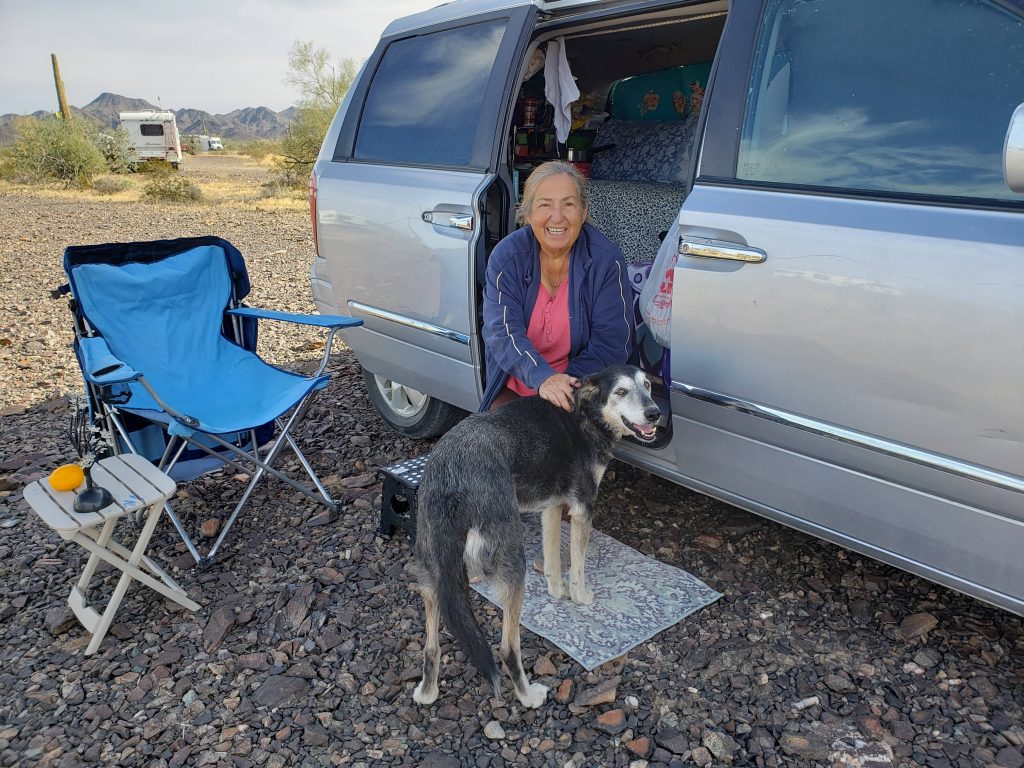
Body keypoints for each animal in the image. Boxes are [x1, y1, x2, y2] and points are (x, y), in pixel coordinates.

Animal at [411, 364, 659, 708]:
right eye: (621, 391)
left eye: (646, 385)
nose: (655, 413)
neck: (586, 414)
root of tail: (450, 468)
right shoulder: (583, 509)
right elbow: (578, 566)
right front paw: (580, 597)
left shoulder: (552, 506)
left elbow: (553, 557)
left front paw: (556, 592)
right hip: (512, 559)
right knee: (507, 648)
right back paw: (528, 696)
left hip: (431, 568)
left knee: (431, 644)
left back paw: (427, 691)